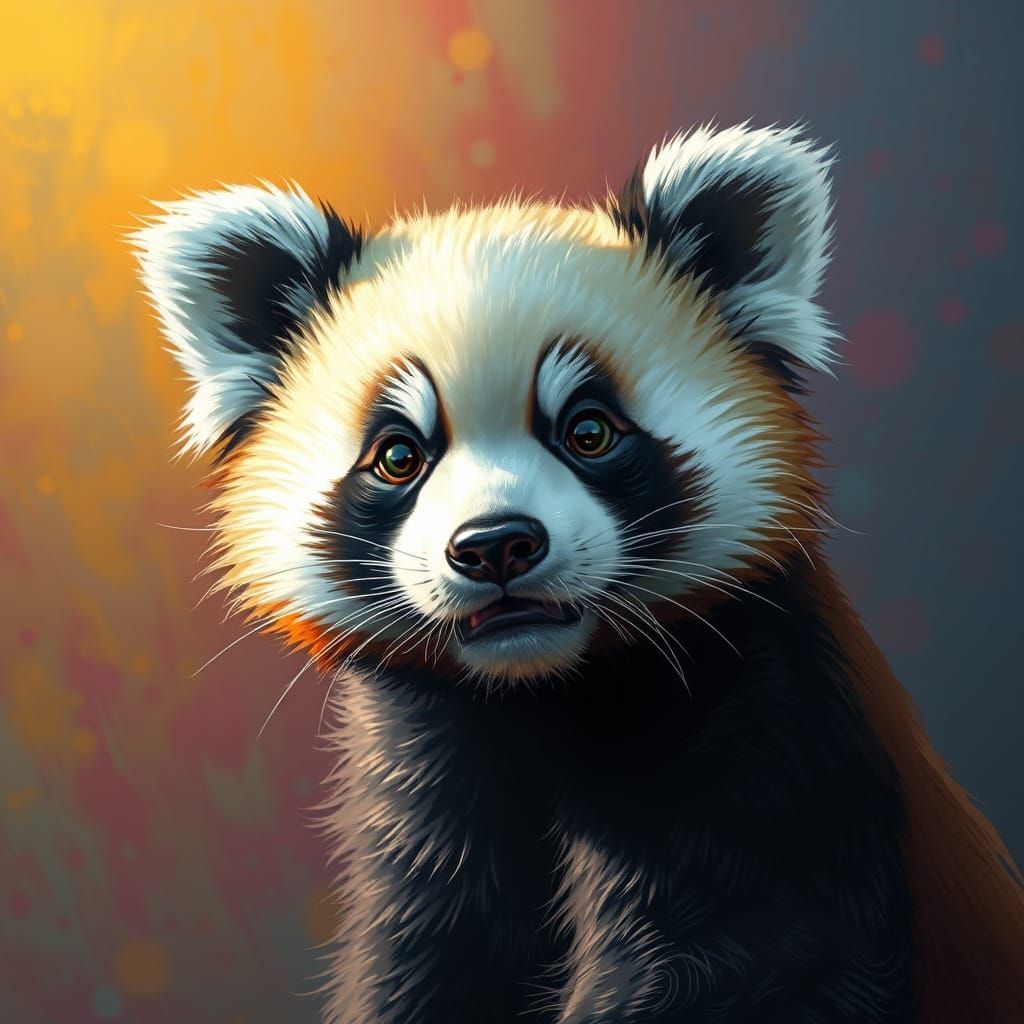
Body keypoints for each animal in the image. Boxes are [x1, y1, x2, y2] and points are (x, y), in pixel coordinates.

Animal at [133, 124, 1024, 1023]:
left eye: (589, 431)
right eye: (398, 456)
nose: (495, 544)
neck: (545, 699)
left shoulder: (780, 770)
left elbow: (747, 964)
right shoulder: (425, 818)